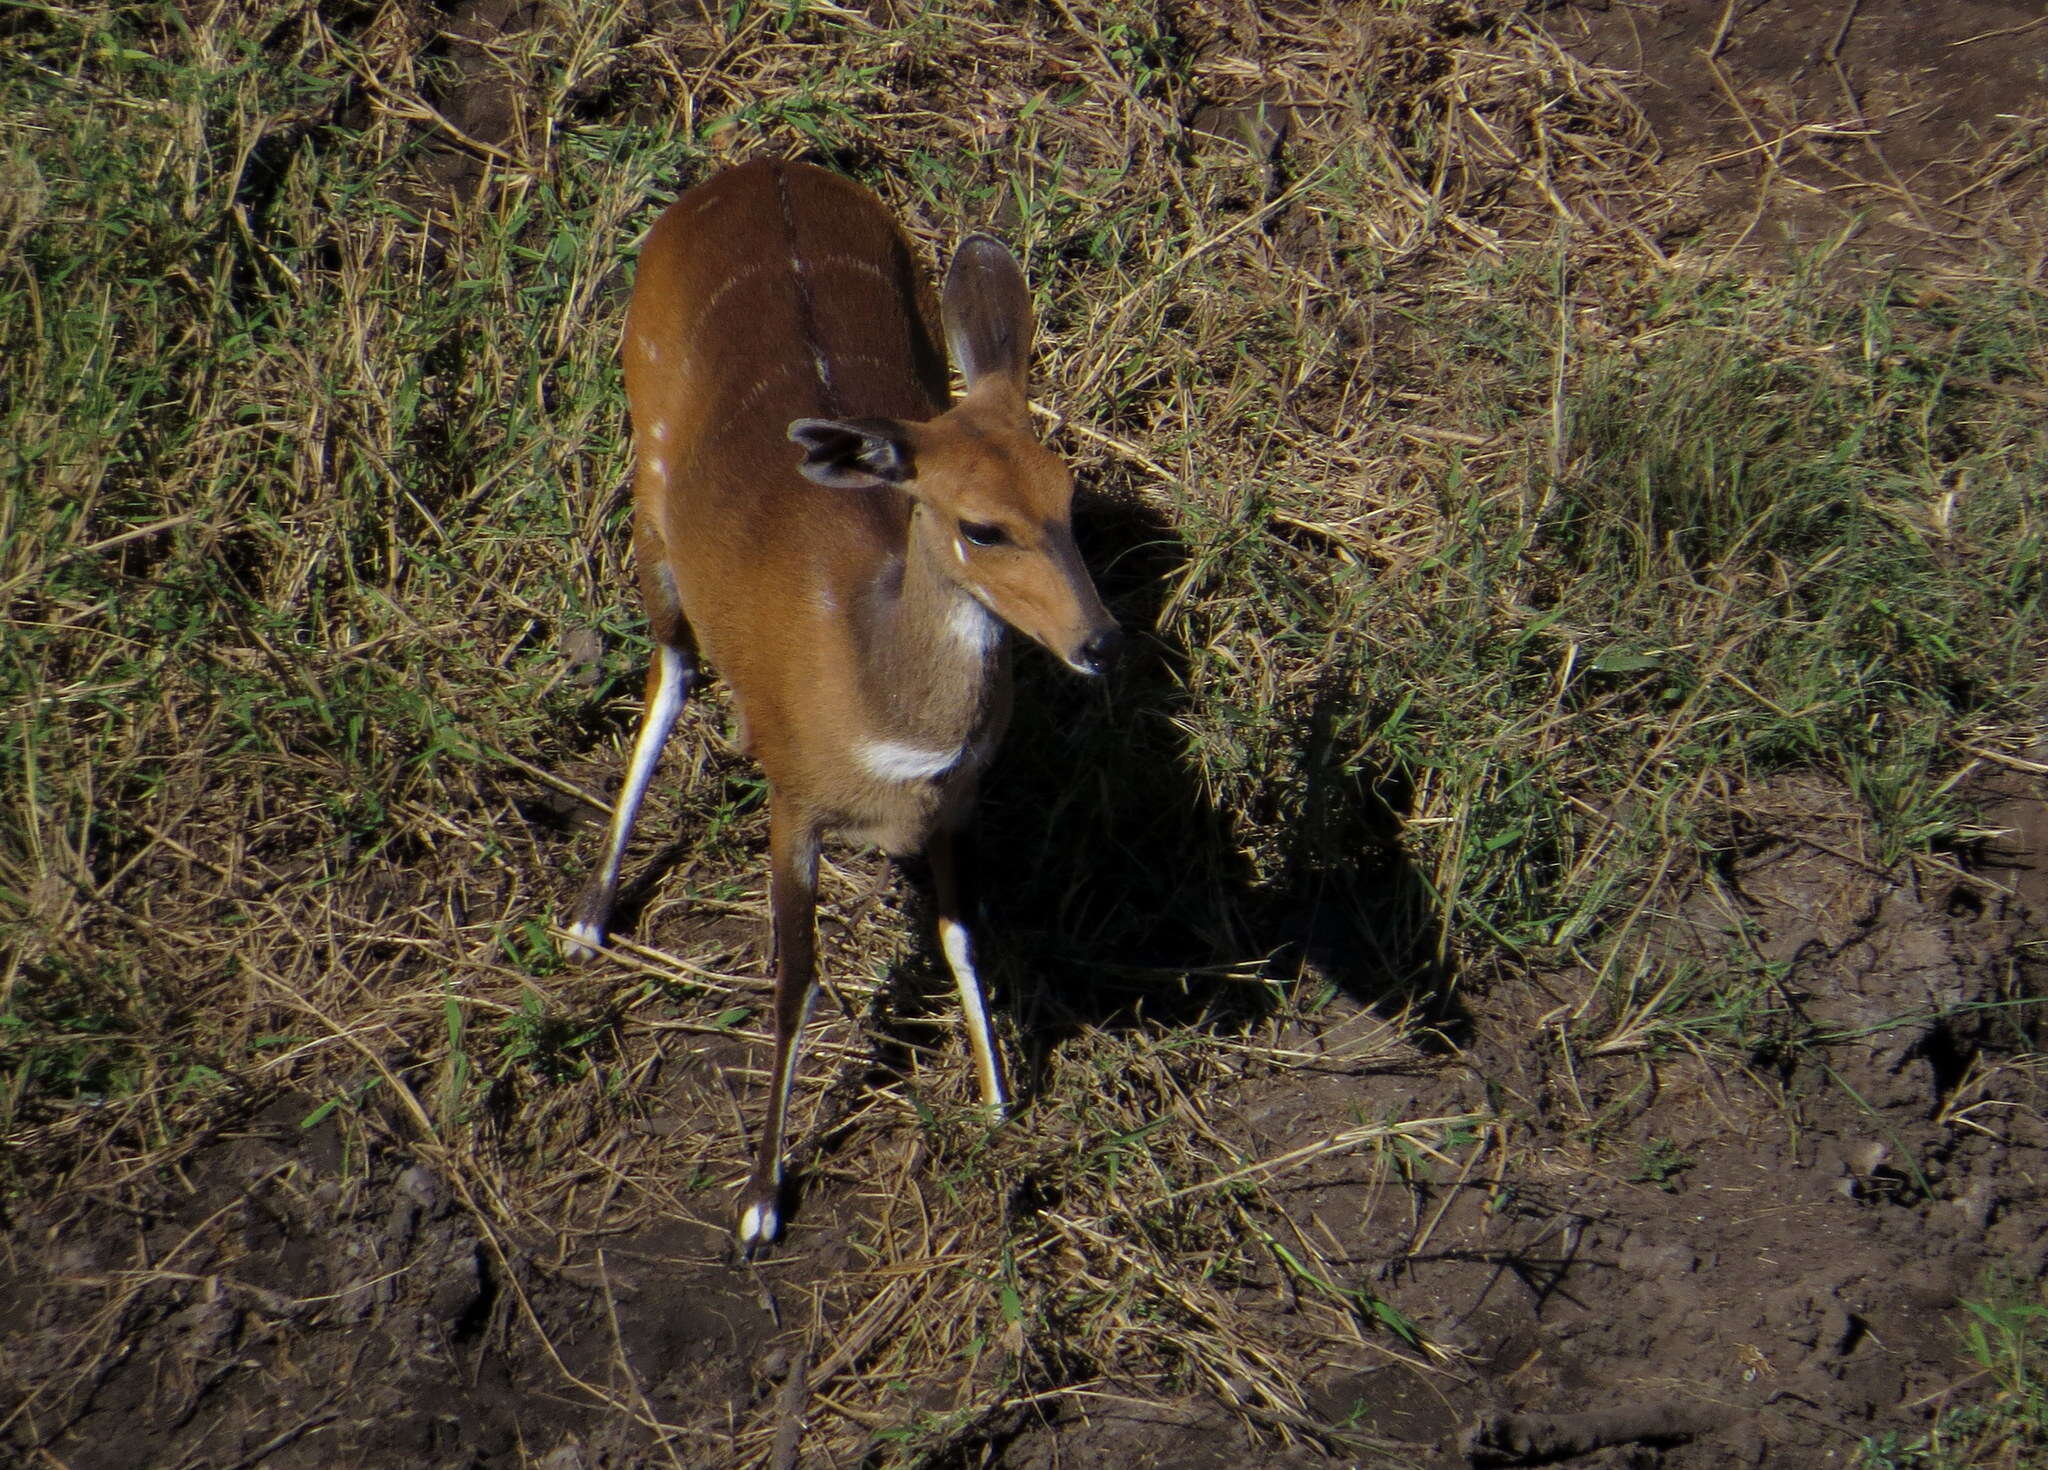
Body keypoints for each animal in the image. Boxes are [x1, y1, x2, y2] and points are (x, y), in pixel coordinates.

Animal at [565, 163, 1122, 1269]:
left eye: (1068, 492)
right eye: (982, 527)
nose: (1099, 642)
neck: (882, 710)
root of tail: (760, 169)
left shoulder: (954, 810)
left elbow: (961, 937)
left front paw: (999, 1104)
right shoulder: (795, 804)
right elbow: (795, 980)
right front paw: (757, 1205)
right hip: (649, 488)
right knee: (670, 671)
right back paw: (592, 914)